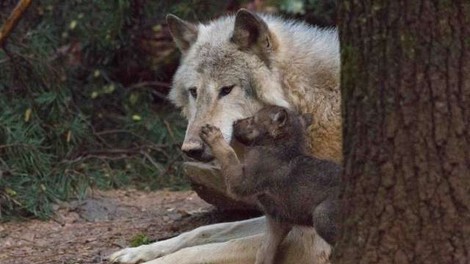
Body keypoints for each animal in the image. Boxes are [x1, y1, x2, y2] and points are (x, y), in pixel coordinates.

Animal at [110, 8, 342, 264]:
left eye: (227, 90)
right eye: (194, 92)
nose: (191, 149)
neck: (307, 106)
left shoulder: (308, 241)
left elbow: (206, 250)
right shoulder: (274, 214)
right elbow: (201, 231)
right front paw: (136, 251)